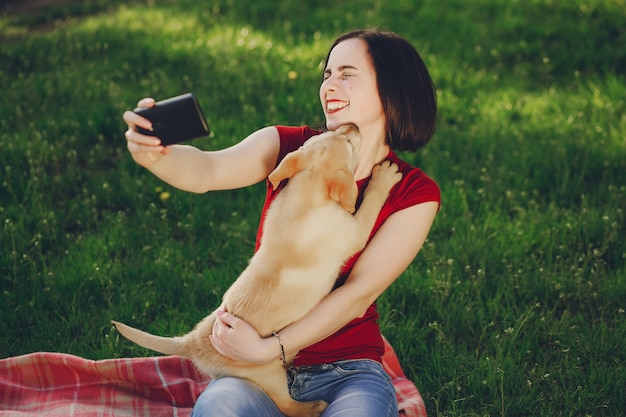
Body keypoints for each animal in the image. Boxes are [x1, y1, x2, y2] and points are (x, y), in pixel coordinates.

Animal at [113, 124, 400, 416]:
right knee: (286, 404)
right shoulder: (355, 230)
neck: (307, 187)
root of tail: (192, 342)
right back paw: (313, 407)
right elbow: (369, 205)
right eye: (350, 144)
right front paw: (384, 178)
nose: (352, 125)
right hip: (266, 374)